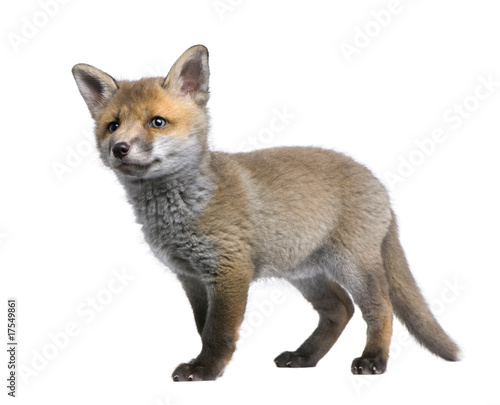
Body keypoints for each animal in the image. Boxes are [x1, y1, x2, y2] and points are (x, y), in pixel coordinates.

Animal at [72, 45, 458, 380]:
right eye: (113, 126)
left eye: (157, 122)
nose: (119, 149)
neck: (183, 210)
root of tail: (376, 180)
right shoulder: (191, 277)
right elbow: (202, 326)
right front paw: (206, 363)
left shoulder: (230, 270)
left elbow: (217, 331)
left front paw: (206, 370)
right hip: (305, 273)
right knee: (340, 310)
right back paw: (304, 356)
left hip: (352, 264)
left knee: (380, 308)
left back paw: (373, 359)